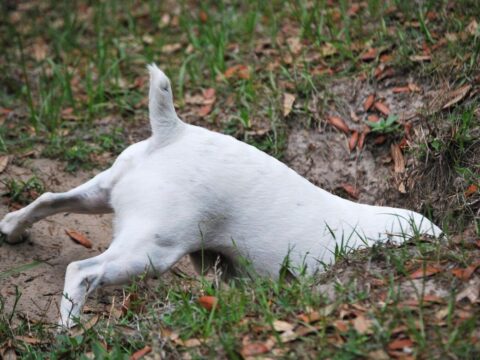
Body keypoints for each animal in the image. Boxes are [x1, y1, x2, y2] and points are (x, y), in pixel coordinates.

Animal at [0, 64, 442, 326]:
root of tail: (173, 132)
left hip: (101, 195)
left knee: (48, 200)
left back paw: (13, 229)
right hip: (152, 250)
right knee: (82, 271)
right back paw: (69, 330)